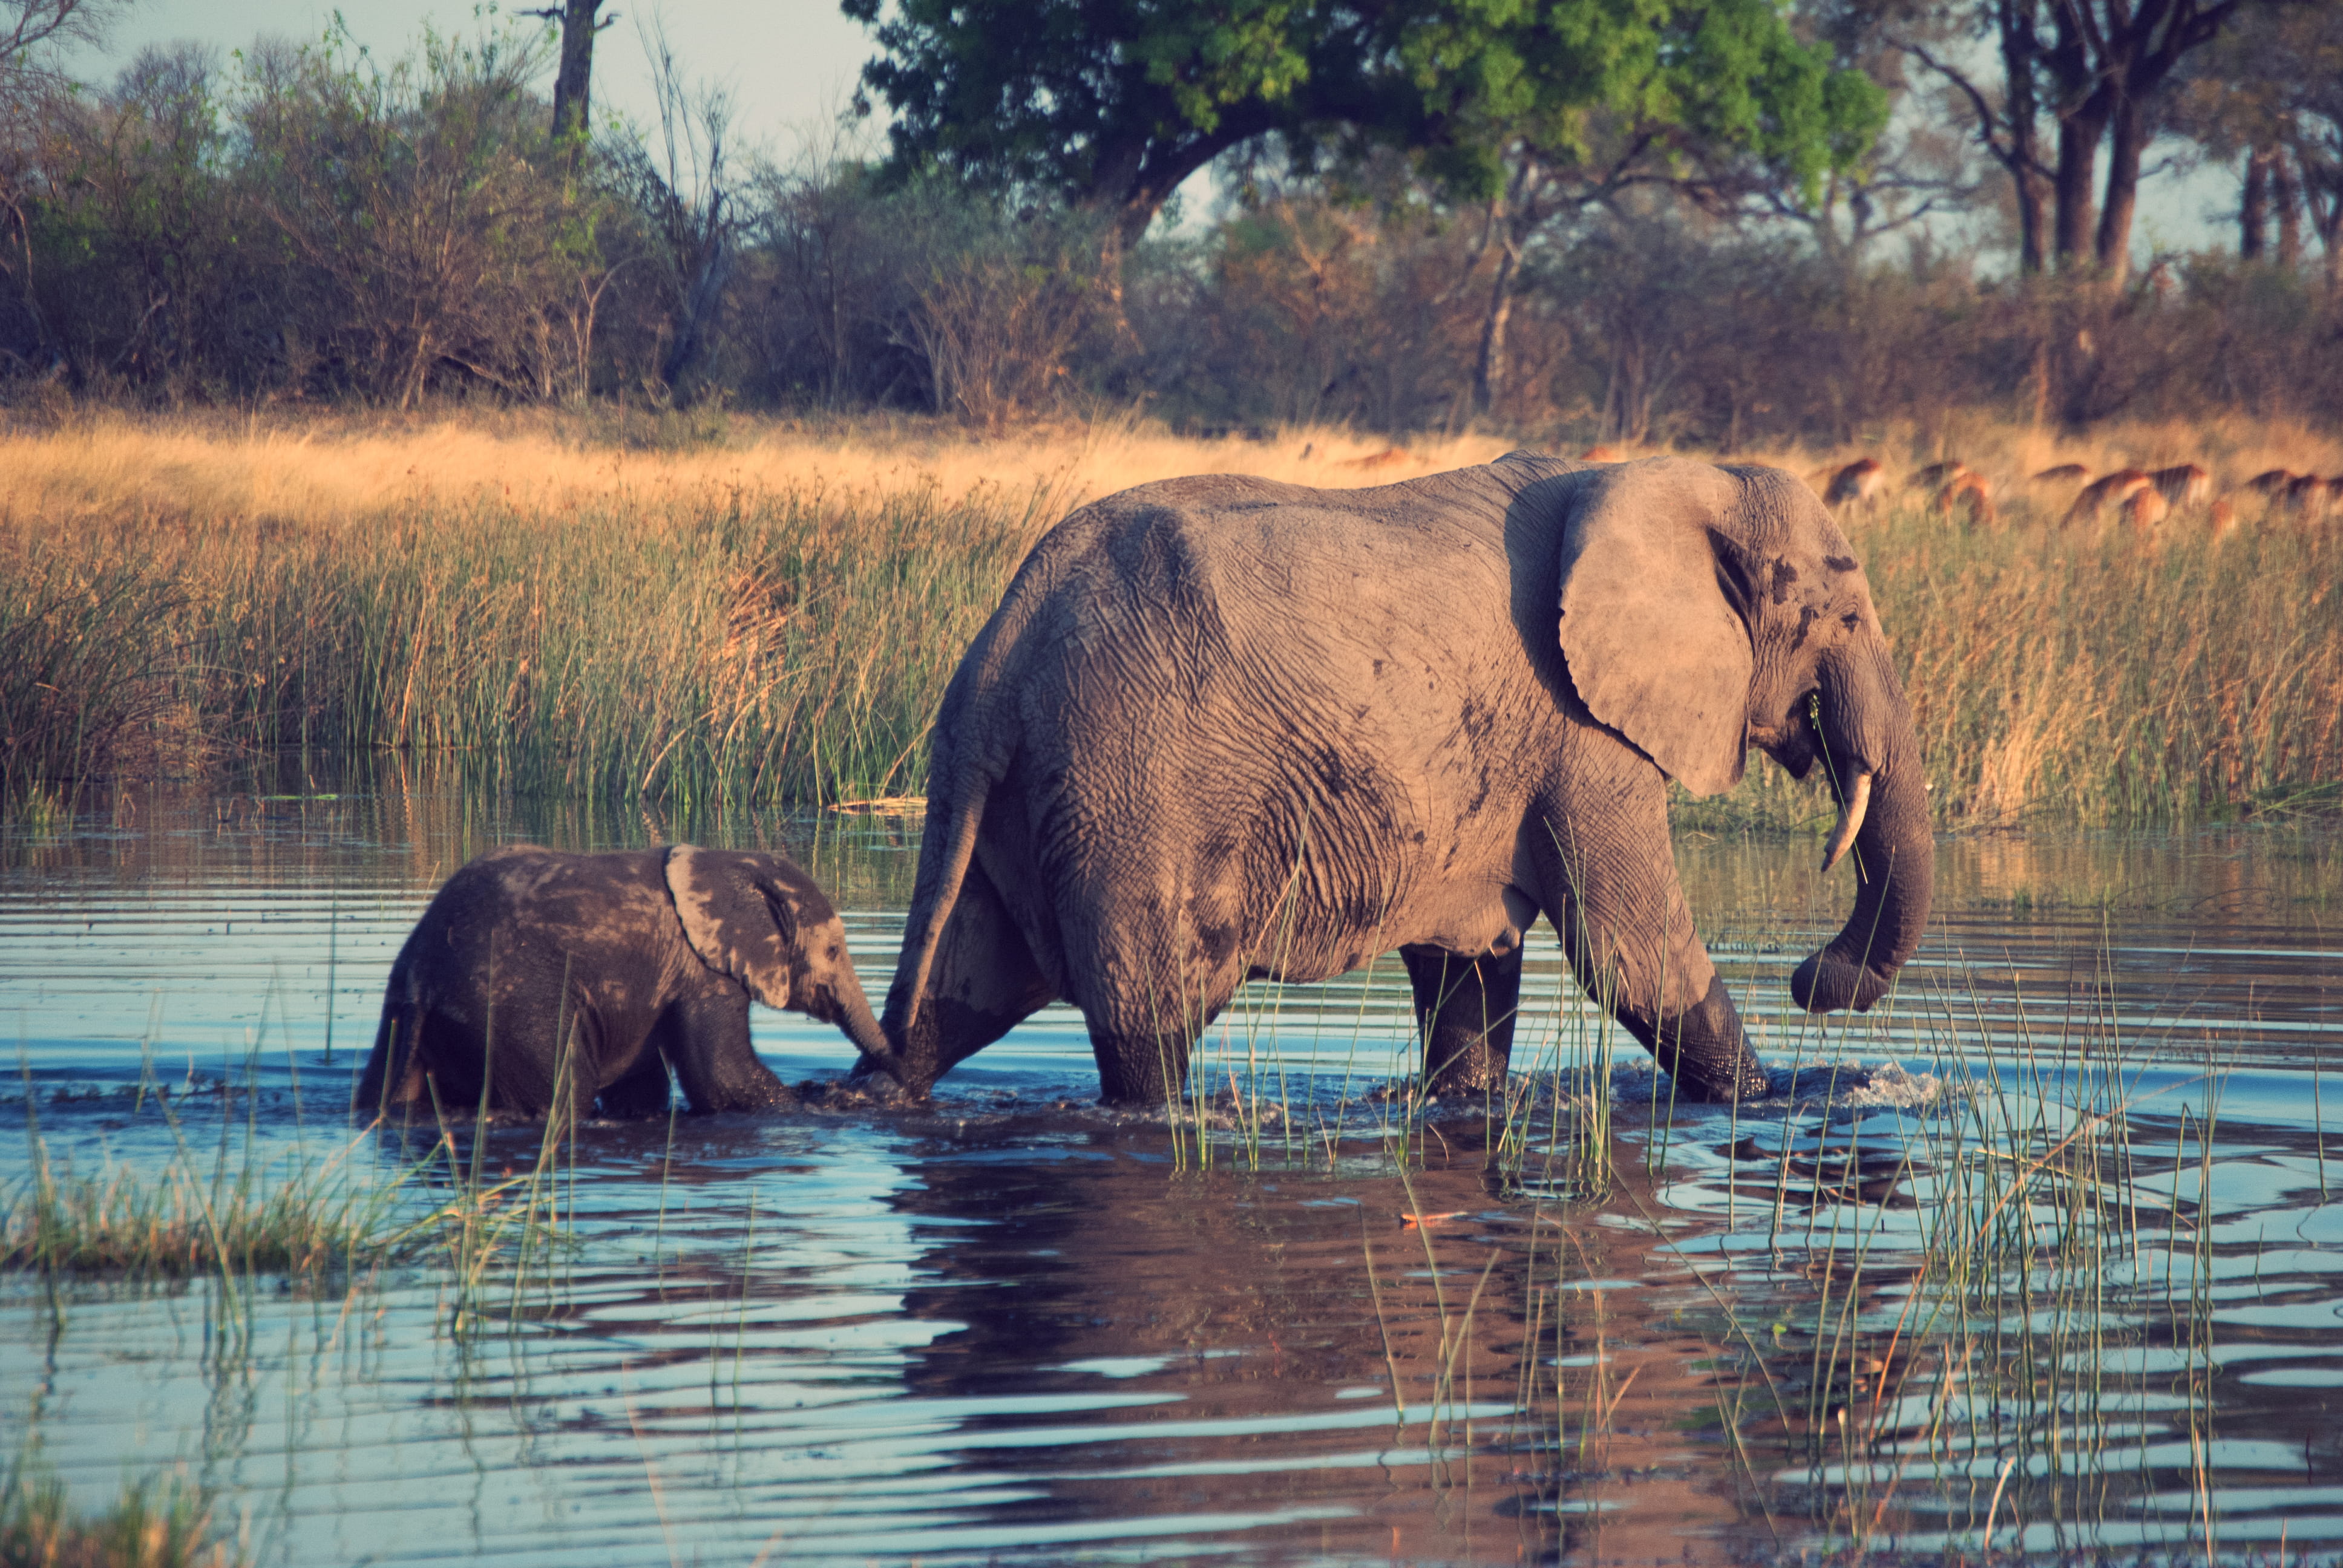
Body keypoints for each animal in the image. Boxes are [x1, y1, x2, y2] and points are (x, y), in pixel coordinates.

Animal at [356, 844, 889, 1119]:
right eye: (834, 951)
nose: (878, 1078)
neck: (732, 862)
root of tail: (423, 976)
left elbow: (644, 1087)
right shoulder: (702, 971)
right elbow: (723, 1078)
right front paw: (820, 1103)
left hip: (400, 1015)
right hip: (506, 1008)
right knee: (565, 1091)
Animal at [864, 451, 1933, 1107]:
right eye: (1841, 618)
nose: (1809, 977)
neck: (1672, 476)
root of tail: (999, 649)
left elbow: (1473, 970)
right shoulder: (1585, 734)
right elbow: (1634, 957)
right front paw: (1771, 1104)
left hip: (1019, 800)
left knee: (941, 1009)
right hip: (1127, 788)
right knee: (1148, 1035)